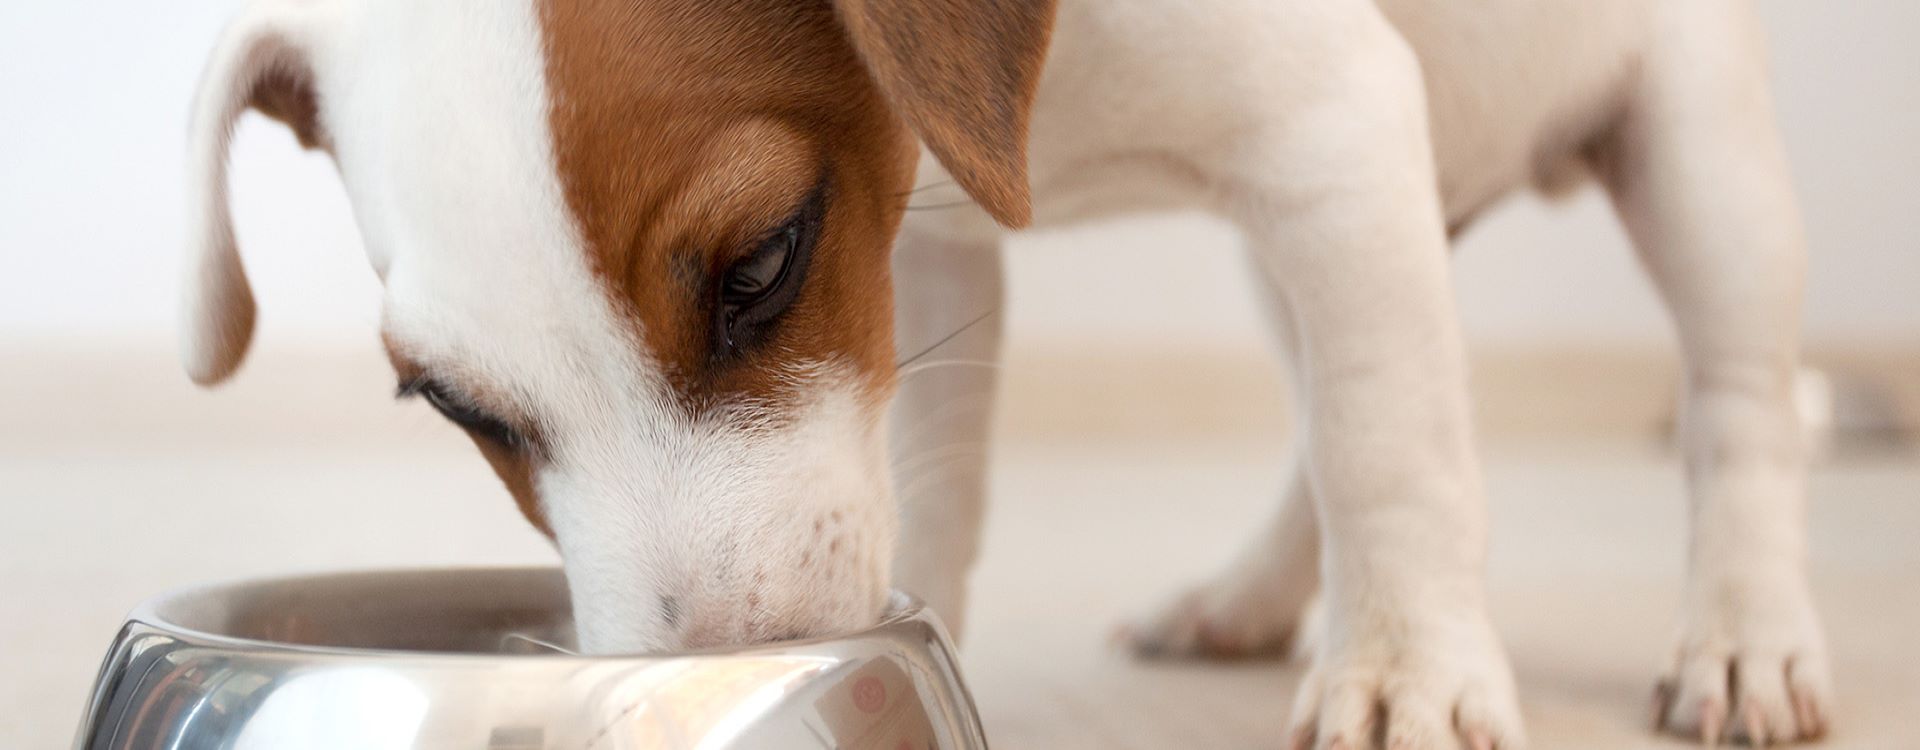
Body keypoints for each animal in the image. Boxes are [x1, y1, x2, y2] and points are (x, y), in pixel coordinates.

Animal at [187, 0, 1835, 748]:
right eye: (460, 407)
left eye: (761, 264)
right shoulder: (919, 238)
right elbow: (934, 481)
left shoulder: (1336, 122)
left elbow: (1396, 452)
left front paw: (1409, 669)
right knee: (1322, 408)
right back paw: (1242, 597)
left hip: (1697, 153)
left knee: (1737, 412)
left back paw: (1747, 633)